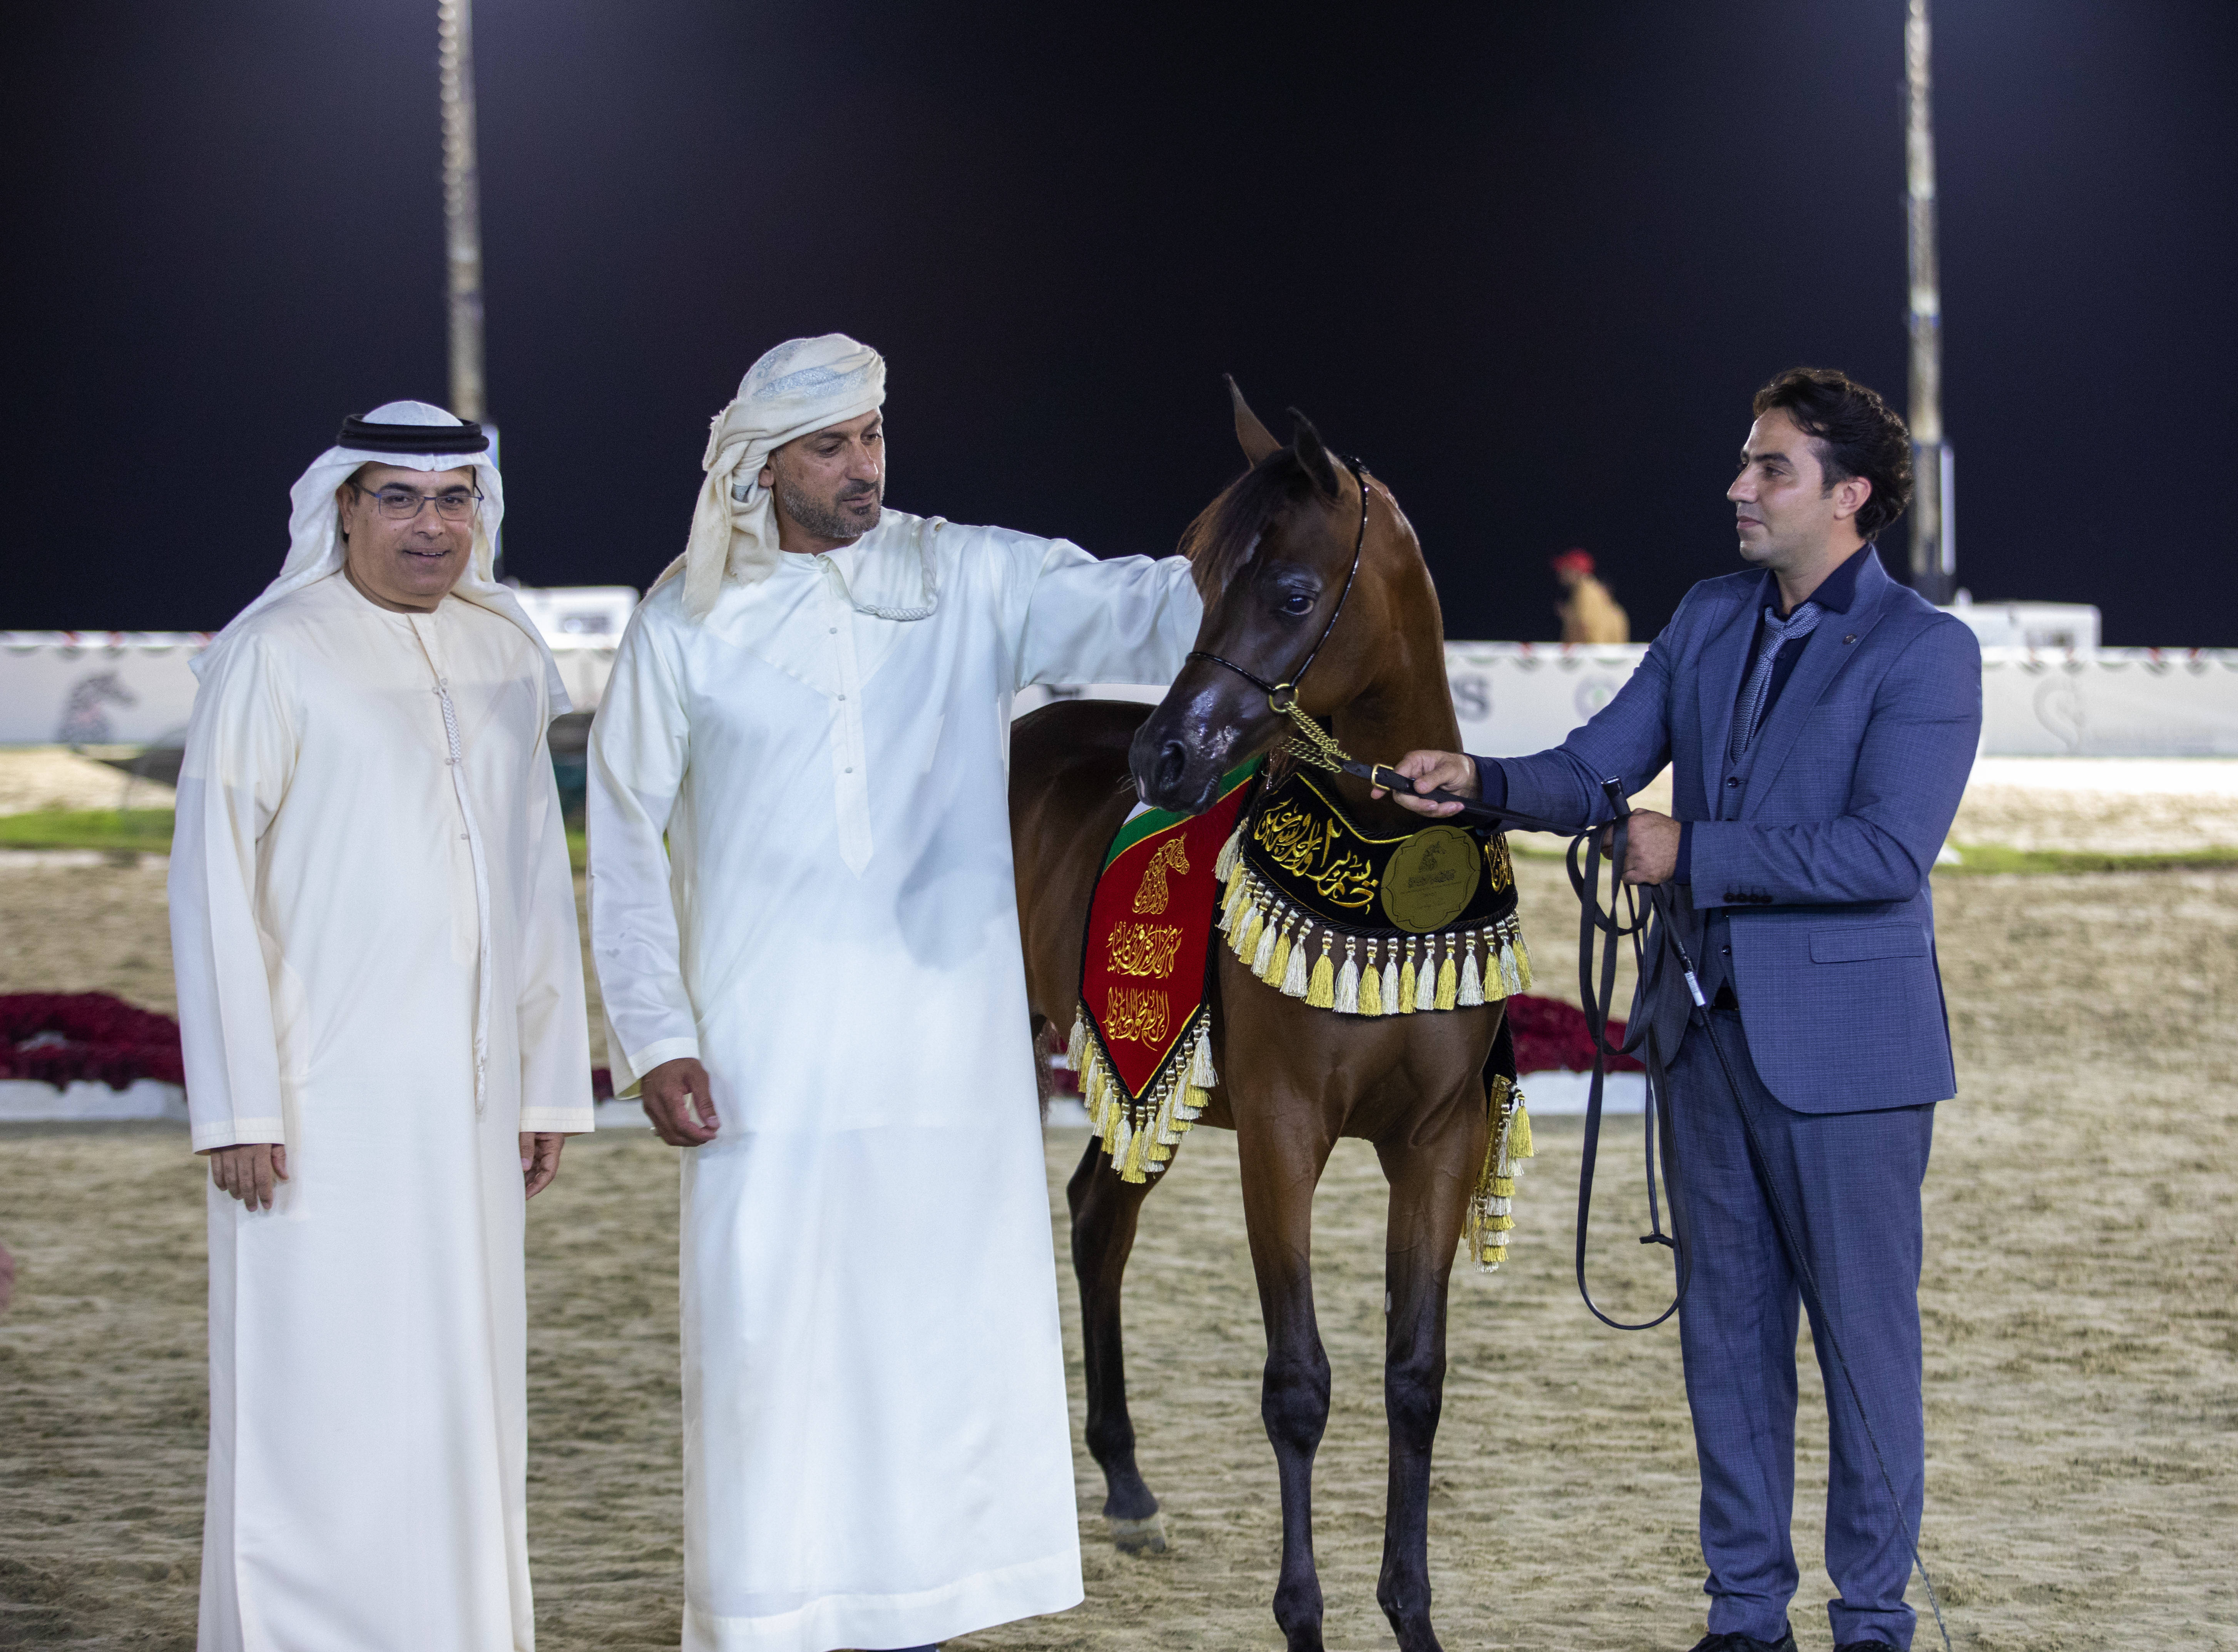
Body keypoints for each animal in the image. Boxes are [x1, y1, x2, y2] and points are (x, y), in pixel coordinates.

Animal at [1010, 384, 1509, 1652]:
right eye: (1194, 576)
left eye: (1289, 592)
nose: (1165, 754)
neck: (1384, 864)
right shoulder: (1284, 1133)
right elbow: (1299, 1382)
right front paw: (1302, 1615)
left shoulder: (1436, 1140)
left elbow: (1413, 1375)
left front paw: (1411, 1611)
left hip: (1139, 1076)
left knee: (1098, 1218)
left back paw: (1128, 1489)